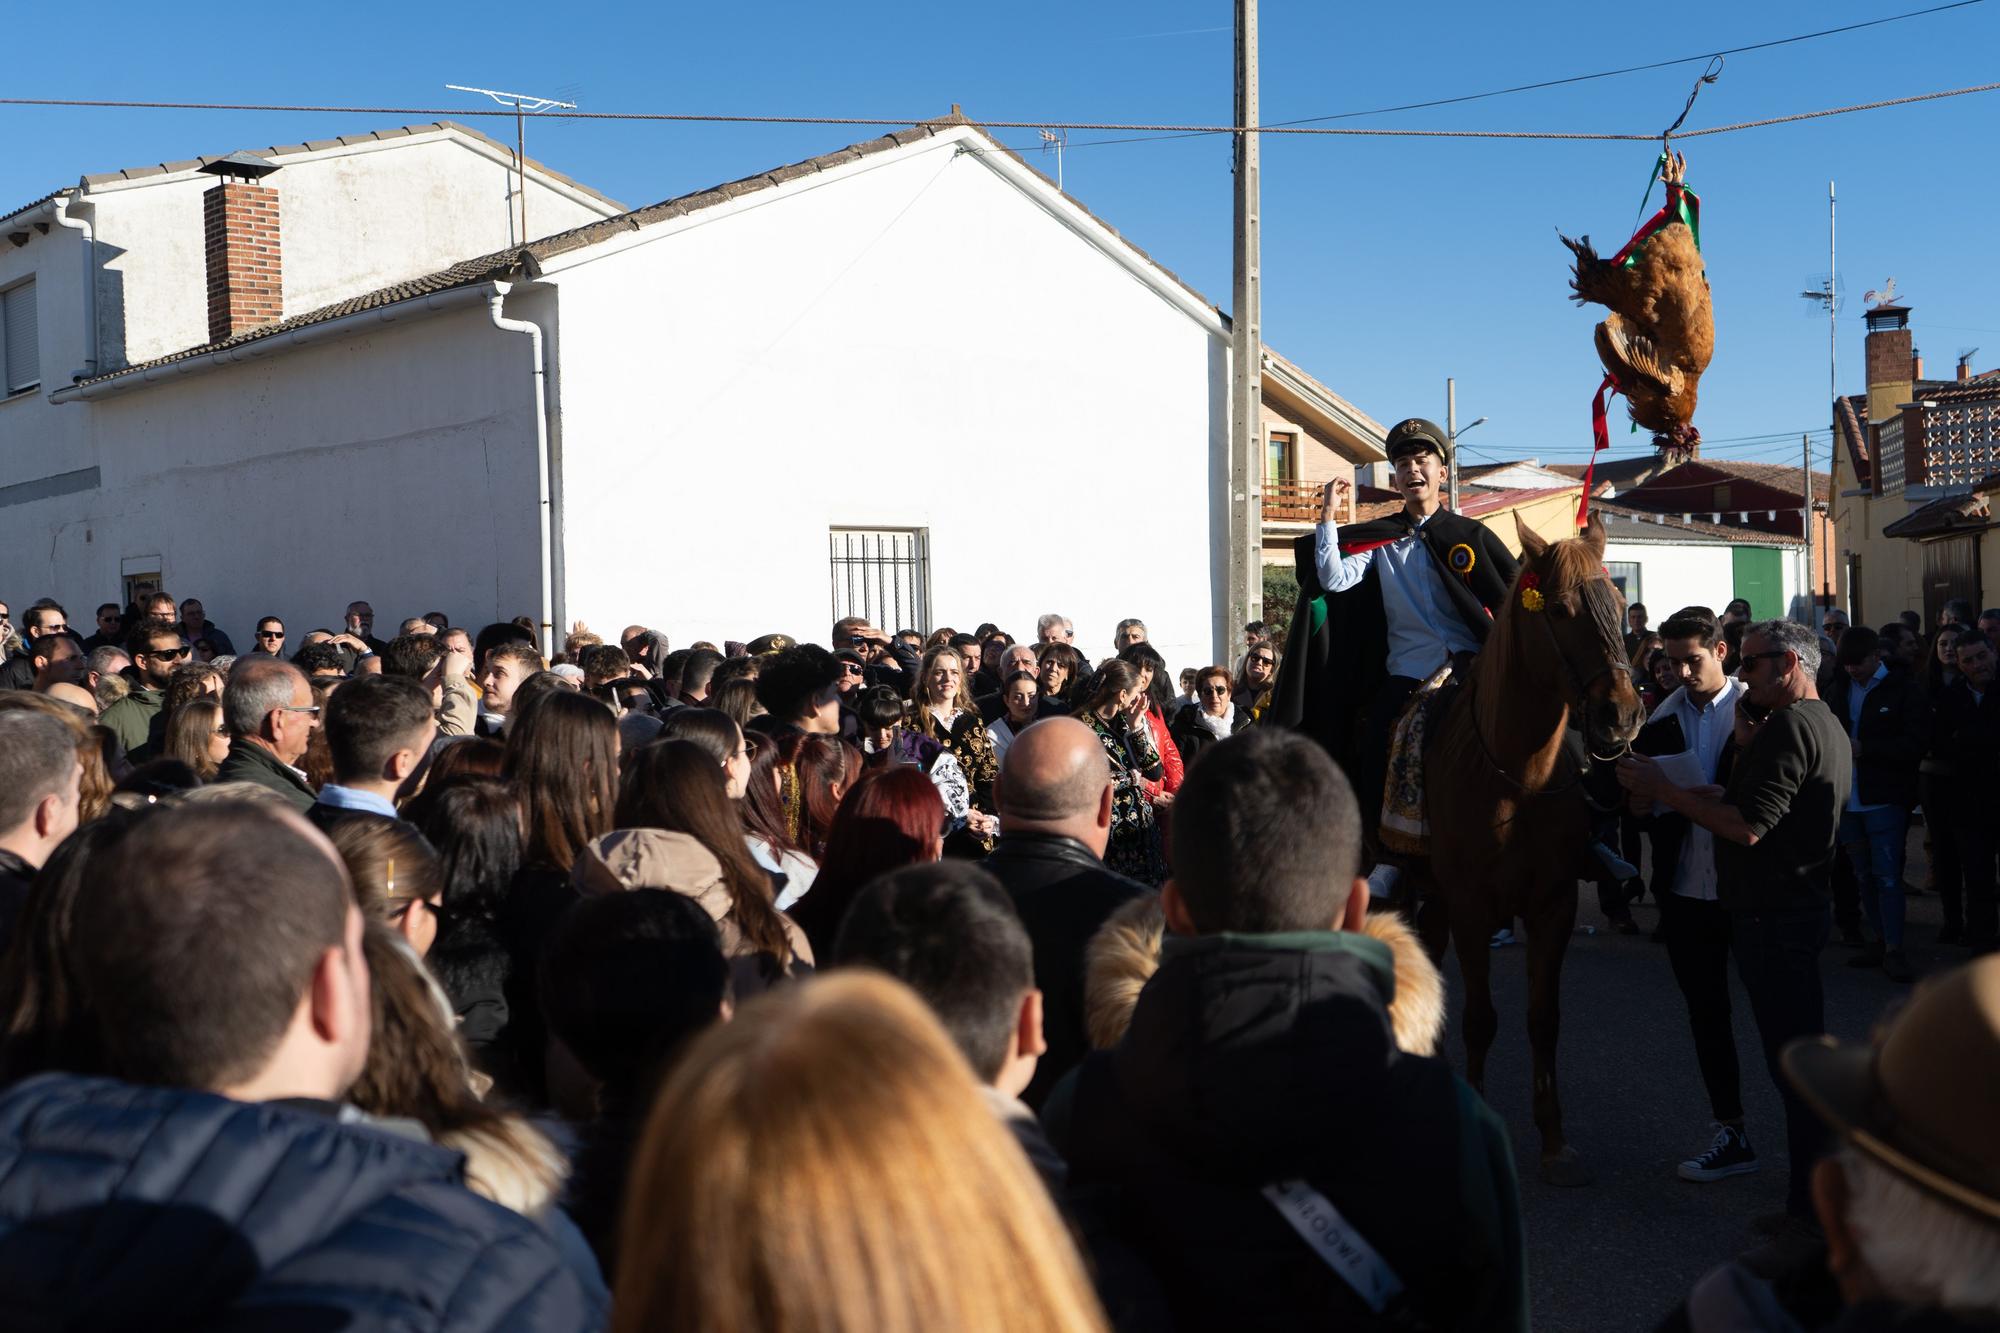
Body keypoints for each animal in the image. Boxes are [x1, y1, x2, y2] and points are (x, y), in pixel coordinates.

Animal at [1408, 510, 1640, 1184]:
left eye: (1620, 605)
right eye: (1559, 609)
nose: (1621, 716)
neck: (1518, 779)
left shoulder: (1552, 906)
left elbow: (1543, 1020)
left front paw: (1554, 1141)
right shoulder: (1471, 907)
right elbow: (1481, 1019)